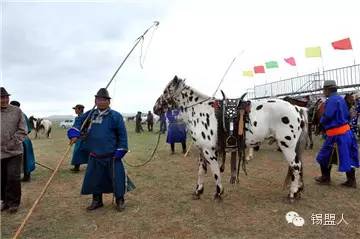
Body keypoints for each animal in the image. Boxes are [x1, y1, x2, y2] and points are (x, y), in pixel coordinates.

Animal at [153, 75, 308, 202]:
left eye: (166, 91)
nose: (155, 108)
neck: (200, 111)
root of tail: (297, 108)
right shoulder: (202, 151)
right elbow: (201, 171)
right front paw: (198, 191)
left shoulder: (209, 151)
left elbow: (215, 171)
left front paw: (218, 193)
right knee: (298, 167)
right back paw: (298, 190)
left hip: (287, 146)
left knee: (296, 166)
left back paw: (293, 193)